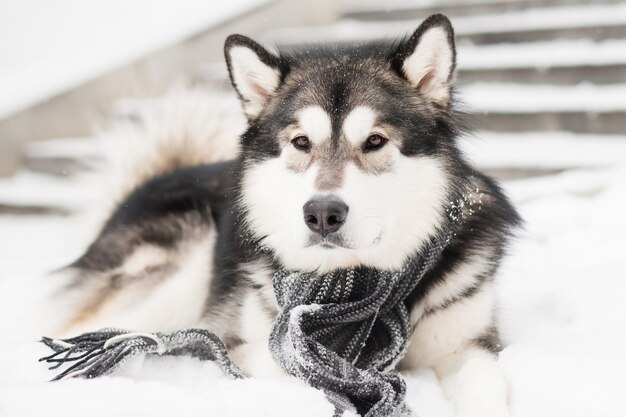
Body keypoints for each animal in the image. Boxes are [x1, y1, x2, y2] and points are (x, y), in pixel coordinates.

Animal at [50, 13, 516, 416]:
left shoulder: (466, 344)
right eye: (301, 142)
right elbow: (294, 367)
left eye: (375, 141)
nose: (323, 214)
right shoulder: (242, 341)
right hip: (179, 269)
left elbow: (484, 390)